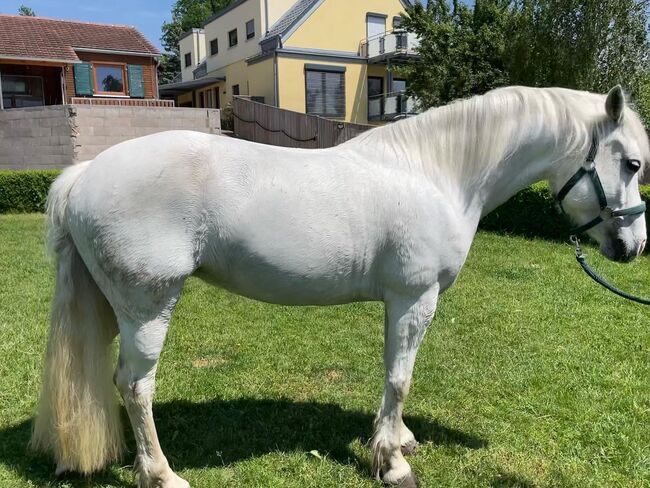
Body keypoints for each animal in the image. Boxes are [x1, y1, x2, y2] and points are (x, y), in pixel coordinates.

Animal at [31, 86, 648, 486]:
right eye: (633, 164)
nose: (633, 246)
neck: (436, 172)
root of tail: (84, 175)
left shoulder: (400, 303)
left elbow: (393, 375)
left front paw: (397, 439)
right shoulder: (414, 298)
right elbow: (400, 378)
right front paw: (393, 463)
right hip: (149, 306)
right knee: (136, 386)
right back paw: (161, 474)